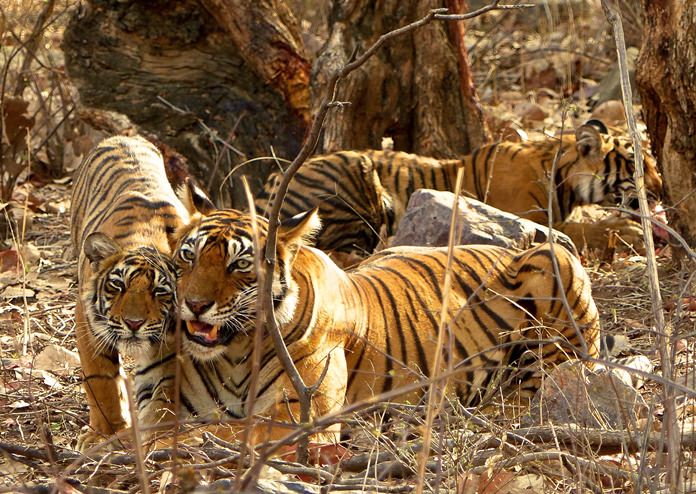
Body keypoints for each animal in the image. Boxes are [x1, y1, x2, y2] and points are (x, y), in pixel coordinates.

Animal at [69, 136, 189, 452]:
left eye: (160, 292)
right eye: (118, 286)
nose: (134, 324)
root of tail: (125, 135)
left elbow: (167, 386)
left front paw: (160, 436)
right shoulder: (88, 323)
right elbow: (101, 380)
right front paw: (103, 435)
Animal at [133, 180, 608, 448]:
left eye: (239, 264)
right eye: (189, 257)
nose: (195, 304)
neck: (234, 353)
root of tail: (507, 247)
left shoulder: (299, 418)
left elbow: (225, 431)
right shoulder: (167, 402)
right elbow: (156, 425)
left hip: (555, 262)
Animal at [256, 119, 664, 260]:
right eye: (640, 166)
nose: (661, 191)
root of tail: (271, 182)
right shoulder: (528, 216)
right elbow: (583, 229)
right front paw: (628, 231)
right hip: (355, 176)